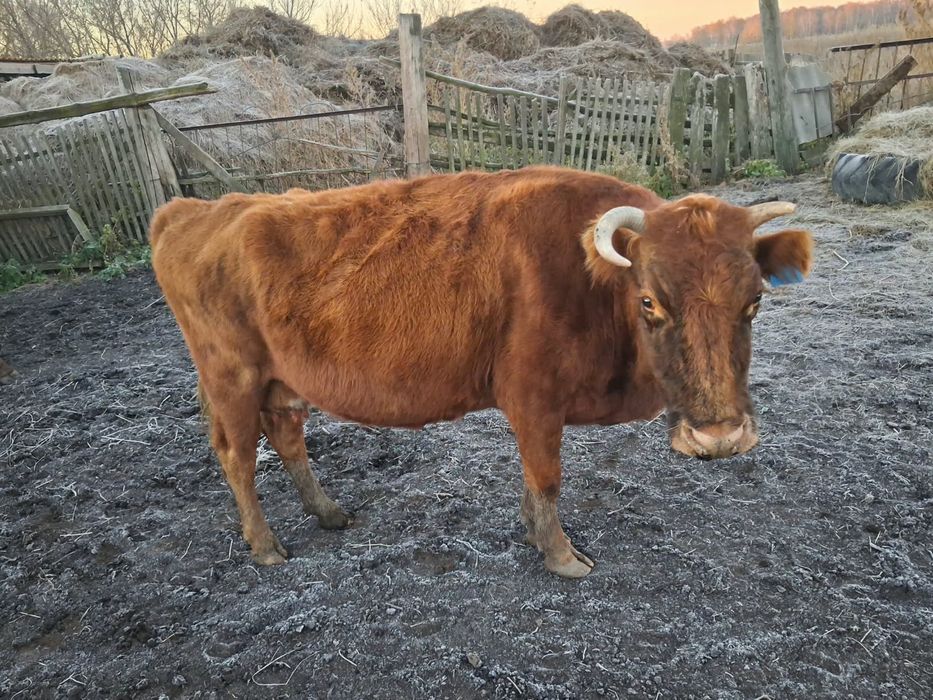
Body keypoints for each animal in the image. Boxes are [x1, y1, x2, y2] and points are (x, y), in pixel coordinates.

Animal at [150, 166, 812, 578]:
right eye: (649, 300)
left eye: (755, 299)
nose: (718, 436)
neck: (588, 280)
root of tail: (193, 210)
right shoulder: (534, 398)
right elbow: (546, 477)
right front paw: (560, 555)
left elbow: (532, 481)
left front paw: (532, 530)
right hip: (232, 380)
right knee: (238, 458)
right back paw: (265, 546)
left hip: (282, 383)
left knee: (287, 440)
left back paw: (329, 513)